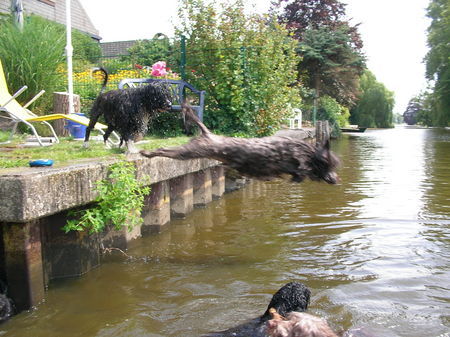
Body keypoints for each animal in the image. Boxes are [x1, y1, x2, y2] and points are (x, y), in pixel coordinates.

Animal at [142, 103, 340, 184]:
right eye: (329, 166)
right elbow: (300, 171)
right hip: (190, 151)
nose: (337, 179)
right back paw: (147, 153)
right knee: (164, 150)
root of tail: (208, 133)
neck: (308, 153)